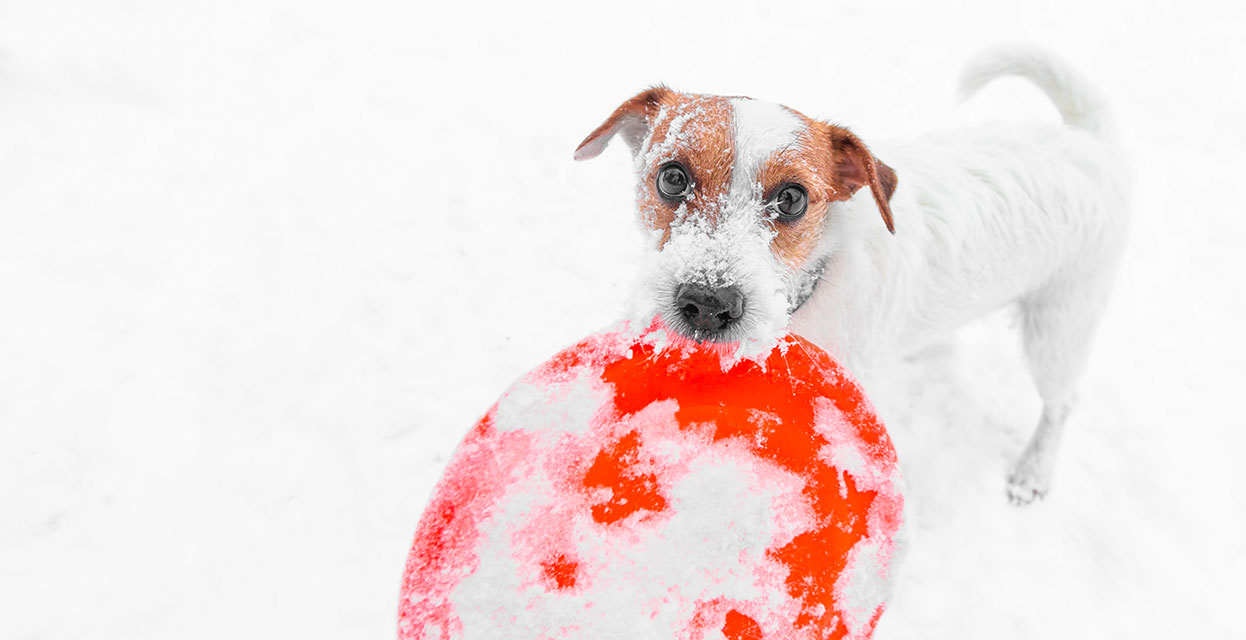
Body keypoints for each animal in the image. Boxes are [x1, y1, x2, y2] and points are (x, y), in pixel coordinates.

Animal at [573, 46, 1131, 503]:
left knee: (1062, 402)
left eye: (792, 198)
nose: (708, 305)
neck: (811, 287)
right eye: (672, 177)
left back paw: (1033, 471)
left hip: (1059, 326)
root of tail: (1090, 142)